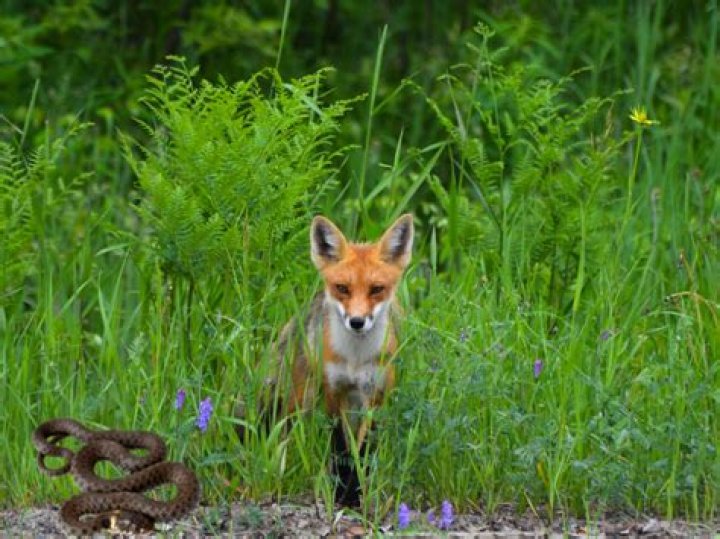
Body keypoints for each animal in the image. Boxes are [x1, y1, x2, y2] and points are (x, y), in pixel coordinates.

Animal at [238, 213, 414, 505]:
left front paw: (355, 495)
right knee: (281, 432)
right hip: (299, 400)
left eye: (377, 289)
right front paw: (344, 494)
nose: (357, 322)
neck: (355, 358)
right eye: (342, 288)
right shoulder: (334, 390)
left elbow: (363, 450)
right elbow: (341, 449)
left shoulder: (376, 396)